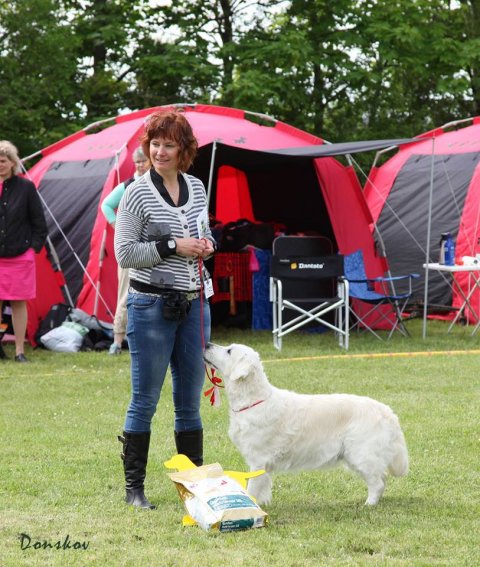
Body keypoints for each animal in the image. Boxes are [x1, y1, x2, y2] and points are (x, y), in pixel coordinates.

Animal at [202, 342, 408, 506]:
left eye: (229, 351)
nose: (207, 344)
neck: (254, 400)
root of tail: (387, 411)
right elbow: (264, 487)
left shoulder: (258, 459)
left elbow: (253, 488)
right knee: (382, 478)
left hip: (361, 454)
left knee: (377, 482)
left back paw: (369, 504)